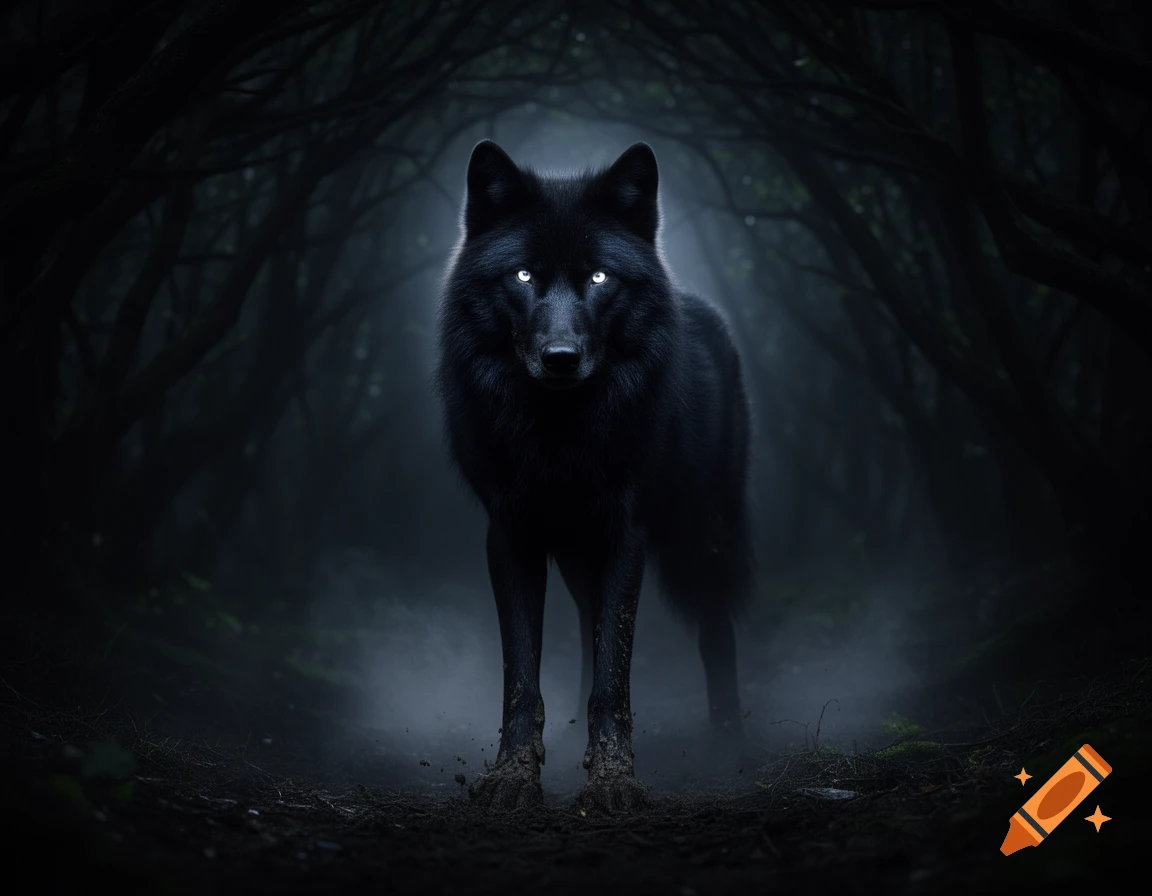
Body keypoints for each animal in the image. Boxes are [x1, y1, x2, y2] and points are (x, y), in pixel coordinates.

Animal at [435, 140, 754, 812]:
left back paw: (728, 745)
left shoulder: (625, 536)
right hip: (581, 557)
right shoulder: (510, 536)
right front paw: (514, 777)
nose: (561, 358)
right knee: (587, 627)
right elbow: (522, 676)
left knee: (715, 630)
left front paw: (613, 781)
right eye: (524, 276)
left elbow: (615, 673)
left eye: (600, 278)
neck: (561, 436)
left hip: (702, 537)